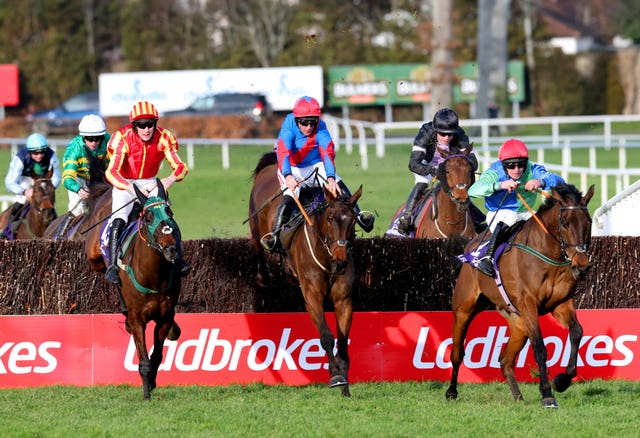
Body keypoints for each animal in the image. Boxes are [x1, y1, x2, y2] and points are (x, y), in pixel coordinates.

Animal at [249, 151, 360, 396]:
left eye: (352, 219)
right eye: (330, 218)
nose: (341, 261)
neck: (327, 258)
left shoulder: (343, 297)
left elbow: (343, 338)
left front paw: (344, 381)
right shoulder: (312, 296)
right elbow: (326, 336)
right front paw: (336, 376)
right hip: (255, 224)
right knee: (258, 246)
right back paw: (263, 273)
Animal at [444, 183, 596, 408]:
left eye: (589, 222)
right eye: (565, 223)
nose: (581, 265)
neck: (548, 255)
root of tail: (471, 246)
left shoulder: (560, 303)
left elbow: (577, 332)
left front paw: (562, 380)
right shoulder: (529, 303)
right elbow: (540, 347)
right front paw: (547, 394)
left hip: (519, 323)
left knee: (505, 360)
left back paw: (517, 396)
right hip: (464, 309)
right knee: (457, 353)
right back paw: (452, 391)